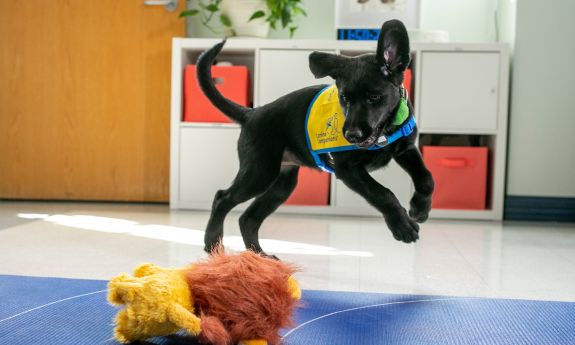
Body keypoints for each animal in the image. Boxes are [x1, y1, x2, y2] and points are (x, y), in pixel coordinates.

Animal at [196, 19, 434, 255]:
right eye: (344, 98)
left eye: (374, 97)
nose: (351, 135)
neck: (385, 130)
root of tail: (252, 113)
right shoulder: (347, 170)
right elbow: (382, 193)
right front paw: (402, 226)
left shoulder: (406, 149)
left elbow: (426, 178)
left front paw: (420, 208)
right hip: (260, 172)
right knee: (222, 198)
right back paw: (213, 243)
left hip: (282, 184)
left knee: (248, 218)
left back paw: (259, 255)